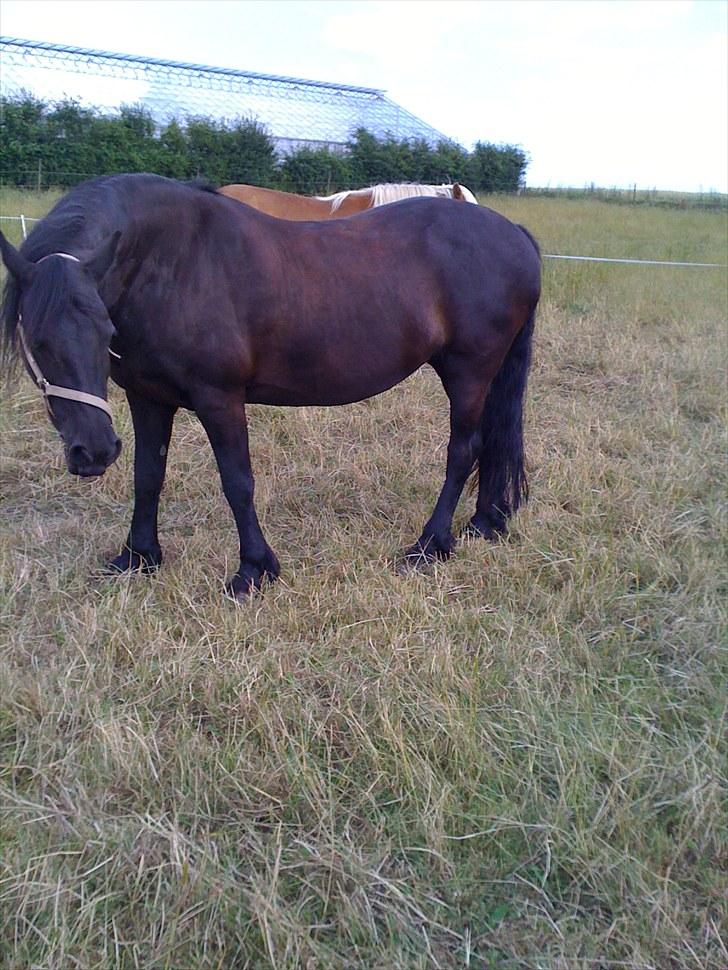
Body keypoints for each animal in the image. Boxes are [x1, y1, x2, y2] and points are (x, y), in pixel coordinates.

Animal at [1, 174, 540, 596]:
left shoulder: (219, 399)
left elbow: (237, 482)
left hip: (468, 373)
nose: (91, 453)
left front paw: (254, 572)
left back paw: (430, 544)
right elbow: (147, 475)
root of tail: (512, 233)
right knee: (490, 443)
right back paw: (484, 523)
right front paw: (138, 556)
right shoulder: (147, 397)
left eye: (104, 330)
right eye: (37, 339)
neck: (172, 262)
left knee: (463, 450)